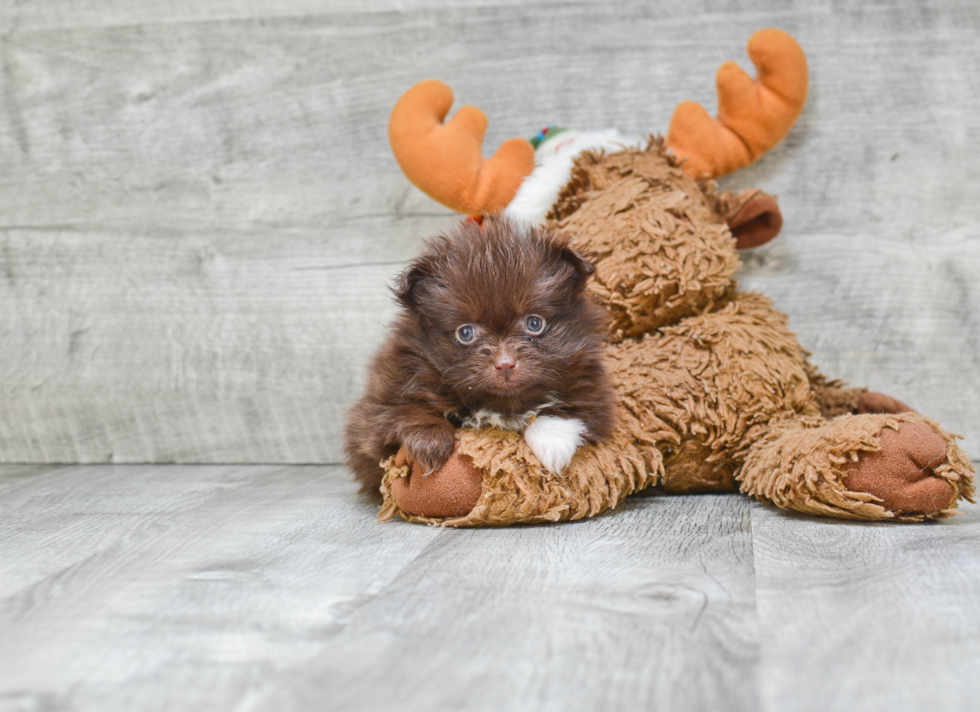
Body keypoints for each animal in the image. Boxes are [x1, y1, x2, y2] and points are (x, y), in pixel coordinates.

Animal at [348, 216, 616, 496]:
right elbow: (405, 410)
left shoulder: (593, 388)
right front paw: (430, 442)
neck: (502, 404)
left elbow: (570, 409)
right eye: (465, 332)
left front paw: (551, 443)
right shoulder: (379, 403)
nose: (505, 364)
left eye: (534, 323)